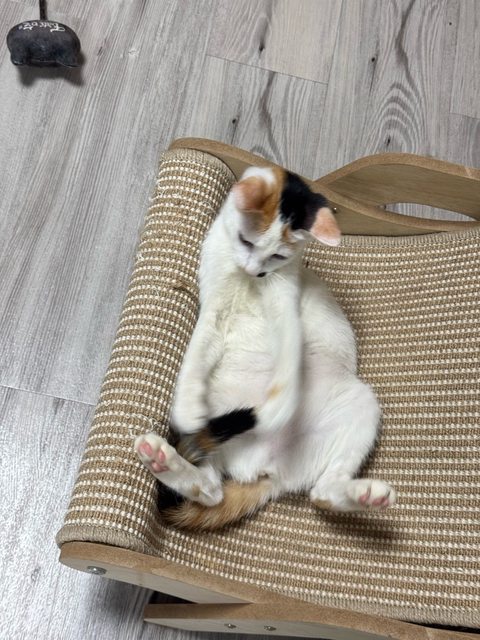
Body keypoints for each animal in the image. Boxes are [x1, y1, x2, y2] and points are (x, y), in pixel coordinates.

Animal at [134, 166, 396, 530]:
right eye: (246, 241)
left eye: (278, 256)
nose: (254, 271)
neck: (246, 280)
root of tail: (265, 469)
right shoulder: (214, 309)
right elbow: (196, 354)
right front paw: (187, 409)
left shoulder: (284, 302)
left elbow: (288, 354)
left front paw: (279, 406)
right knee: (211, 489)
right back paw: (164, 461)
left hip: (361, 403)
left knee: (321, 494)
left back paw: (364, 494)